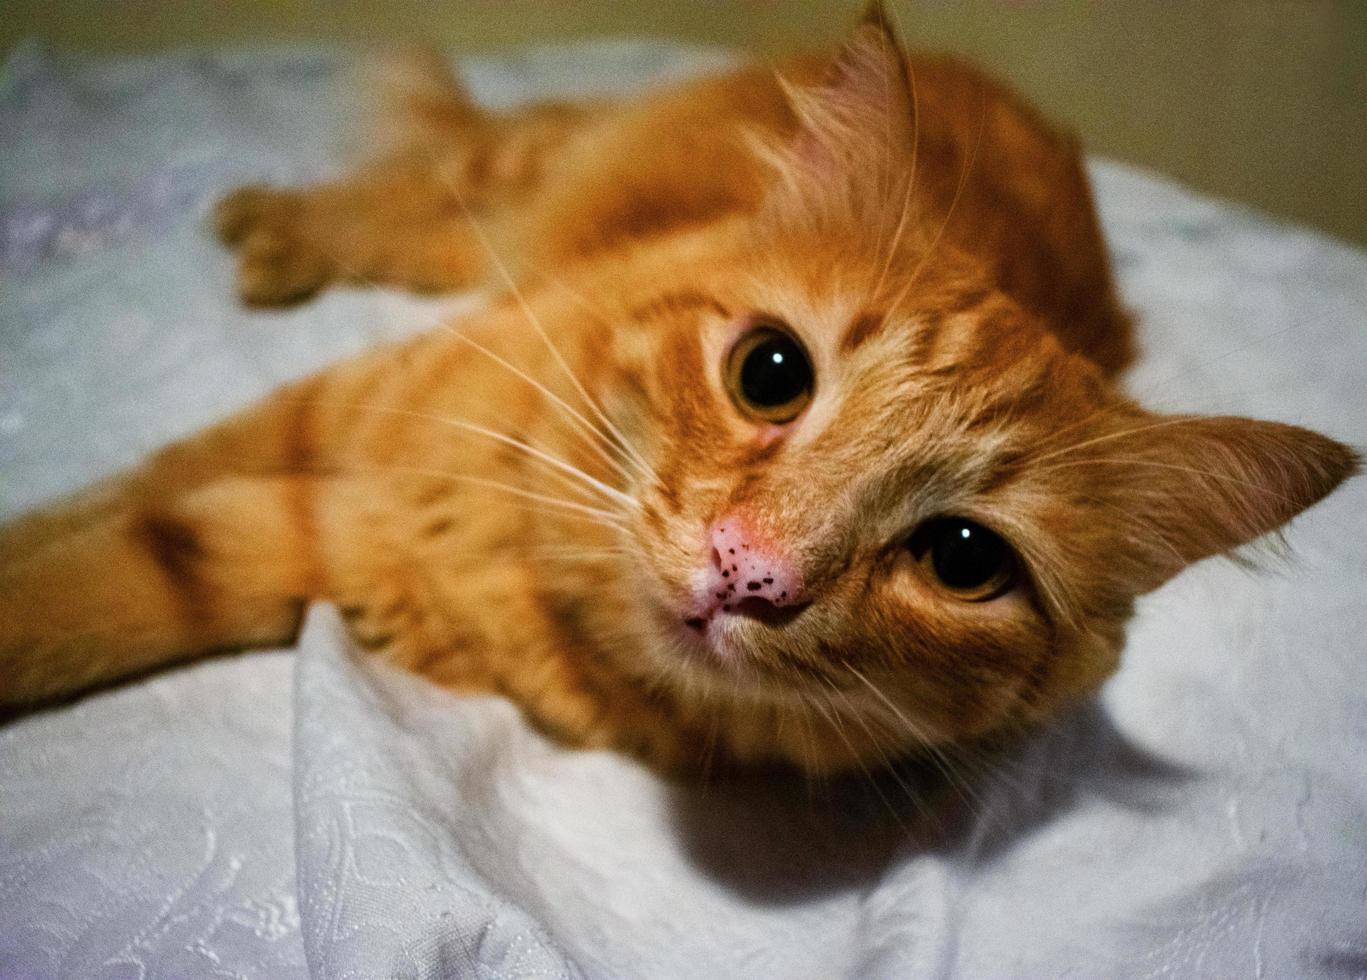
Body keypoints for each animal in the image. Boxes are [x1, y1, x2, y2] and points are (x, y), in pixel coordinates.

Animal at [0, 7, 1356, 770]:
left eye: (964, 558)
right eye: (771, 373)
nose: (748, 569)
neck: (516, 550)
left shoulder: (285, 547)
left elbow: (87, 578)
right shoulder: (316, 418)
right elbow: (80, 529)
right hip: (529, 178)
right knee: (432, 179)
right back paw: (277, 227)